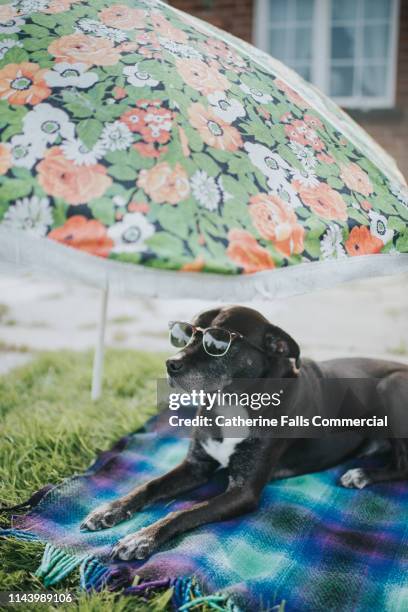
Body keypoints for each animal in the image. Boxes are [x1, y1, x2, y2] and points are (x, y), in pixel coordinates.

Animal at [80, 304, 408, 560]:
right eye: (185, 333)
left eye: (218, 342)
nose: (170, 363)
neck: (231, 403)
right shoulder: (196, 466)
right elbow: (150, 485)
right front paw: (110, 509)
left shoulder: (243, 491)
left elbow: (184, 512)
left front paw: (141, 537)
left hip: (391, 386)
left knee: (402, 467)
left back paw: (362, 474)